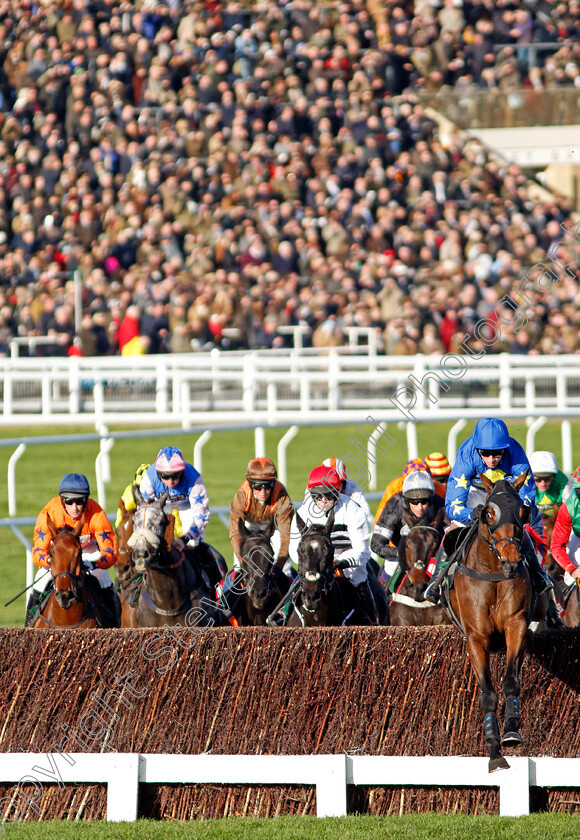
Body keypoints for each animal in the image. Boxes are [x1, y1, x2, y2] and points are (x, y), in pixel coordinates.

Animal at [448, 470, 548, 772]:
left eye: (523, 511)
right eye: (489, 513)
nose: (513, 560)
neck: (493, 574)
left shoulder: (516, 625)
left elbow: (511, 680)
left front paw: (512, 731)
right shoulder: (475, 637)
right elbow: (487, 693)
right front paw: (494, 752)